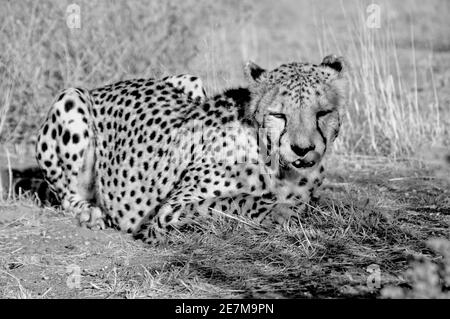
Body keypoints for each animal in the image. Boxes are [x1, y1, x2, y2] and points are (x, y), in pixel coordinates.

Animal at [37, 55, 348, 245]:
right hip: (71, 98)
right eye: (279, 115)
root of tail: (107, 86)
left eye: (322, 113)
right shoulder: (169, 212)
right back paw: (89, 213)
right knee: (68, 196)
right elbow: (231, 201)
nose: (302, 149)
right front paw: (280, 211)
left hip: (191, 79)